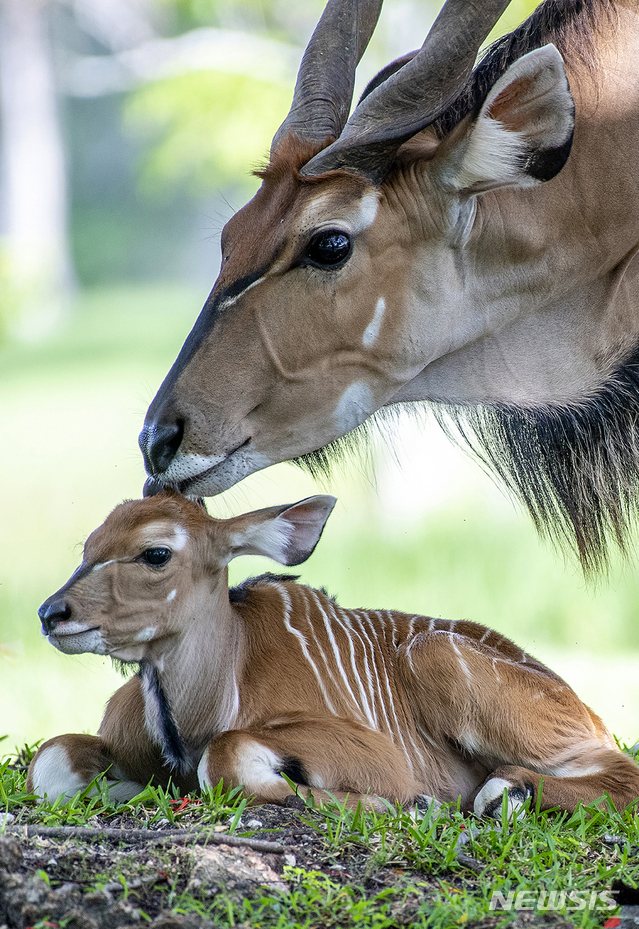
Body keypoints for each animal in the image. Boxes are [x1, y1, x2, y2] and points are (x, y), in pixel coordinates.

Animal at [27, 490, 639, 816]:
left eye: (155, 552)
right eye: (89, 547)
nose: (51, 613)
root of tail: (580, 705)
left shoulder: (379, 757)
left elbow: (228, 758)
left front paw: (403, 804)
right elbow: (50, 763)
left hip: (442, 657)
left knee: (619, 772)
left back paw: (507, 790)